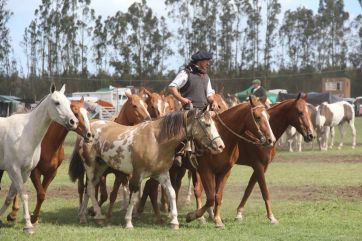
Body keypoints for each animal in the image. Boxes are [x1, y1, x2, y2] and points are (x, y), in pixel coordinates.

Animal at [0, 83, 78, 233]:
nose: (73, 122)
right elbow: (23, 194)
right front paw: (28, 226)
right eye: (57, 102)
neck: (25, 133)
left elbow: (10, 196)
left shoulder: (25, 172)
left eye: (69, 103)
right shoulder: (14, 170)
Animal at [69, 108, 225, 230]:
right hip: (90, 166)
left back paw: (83, 217)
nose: (220, 146)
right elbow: (133, 198)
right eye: (207, 124)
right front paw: (128, 222)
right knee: (90, 189)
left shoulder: (162, 174)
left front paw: (174, 222)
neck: (157, 140)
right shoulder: (137, 174)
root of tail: (88, 130)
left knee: (88, 189)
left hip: (101, 167)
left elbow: (172, 193)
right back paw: (98, 217)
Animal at [233, 93, 316, 224]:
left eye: (308, 112)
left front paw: (239, 213)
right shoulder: (258, 166)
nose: (311, 135)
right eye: (300, 112)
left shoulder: (262, 167)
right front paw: (271, 217)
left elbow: (249, 189)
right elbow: (264, 191)